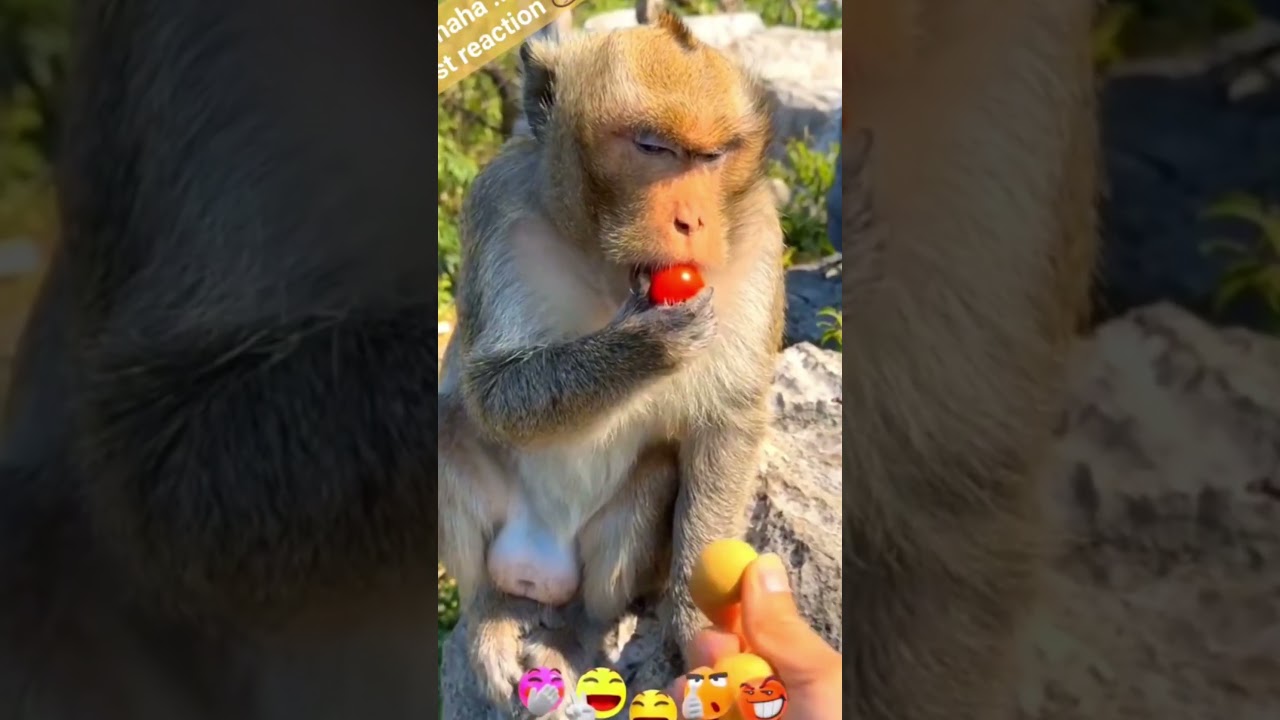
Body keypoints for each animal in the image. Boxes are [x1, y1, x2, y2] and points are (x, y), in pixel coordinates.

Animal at [437, 11, 786, 711]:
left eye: (714, 156)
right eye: (653, 148)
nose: (693, 220)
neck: (609, 265)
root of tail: (538, 566)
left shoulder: (759, 237)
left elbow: (729, 422)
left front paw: (697, 627)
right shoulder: (497, 207)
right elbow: (490, 393)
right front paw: (643, 342)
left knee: (647, 493)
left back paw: (579, 630)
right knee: (446, 429)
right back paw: (490, 609)